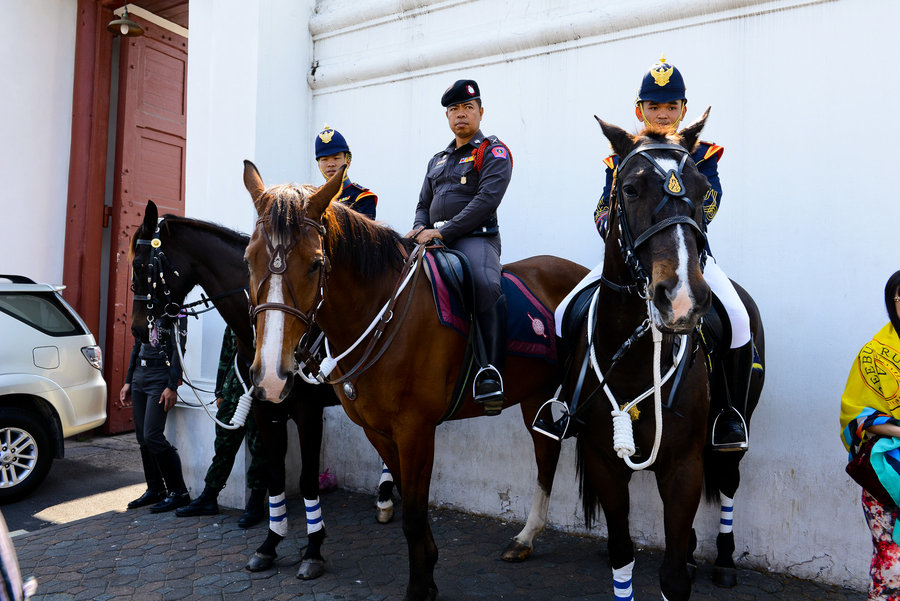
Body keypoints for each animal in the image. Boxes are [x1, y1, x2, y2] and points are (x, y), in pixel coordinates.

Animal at [243, 161, 588, 600]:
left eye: (316, 263)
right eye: (248, 258)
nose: (271, 375)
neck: (383, 313)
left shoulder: (415, 430)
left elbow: (412, 515)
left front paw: (419, 586)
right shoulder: (379, 431)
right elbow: (410, 503)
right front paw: (430, 567)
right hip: (535, 395)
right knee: (546, 456)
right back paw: (525, 538)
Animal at [568, 113, 764, 600]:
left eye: (700, 187)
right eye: (629, 188)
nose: (681, 300)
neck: (637, 358)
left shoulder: (683, 465)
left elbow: (672, 577)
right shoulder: (603, 460)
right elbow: (622, 555)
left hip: (734, 432)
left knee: (728, 480)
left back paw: (724, 561)